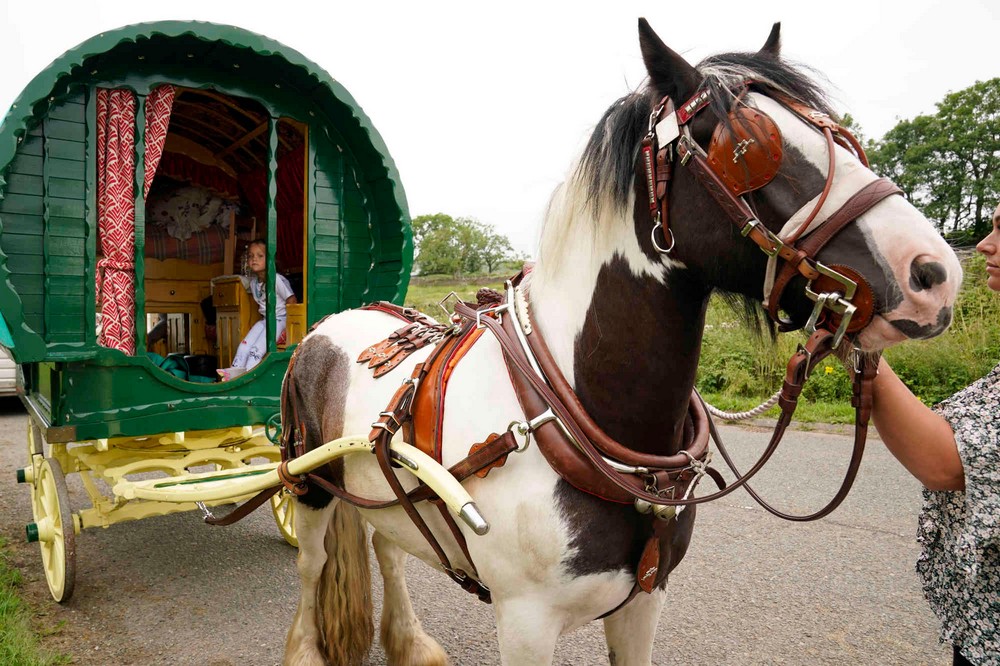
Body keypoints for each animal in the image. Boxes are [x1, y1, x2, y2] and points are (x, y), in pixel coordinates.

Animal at [280, 19, 960, 664]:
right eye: (748, 146)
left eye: (843, 135)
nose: (933, 274)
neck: (562, 404)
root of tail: (332, 322)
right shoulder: (524, 623)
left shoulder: (645, 599)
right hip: (308, 485)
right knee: (312, 565)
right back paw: (307, 647)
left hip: (383, 497)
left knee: (387, 548)